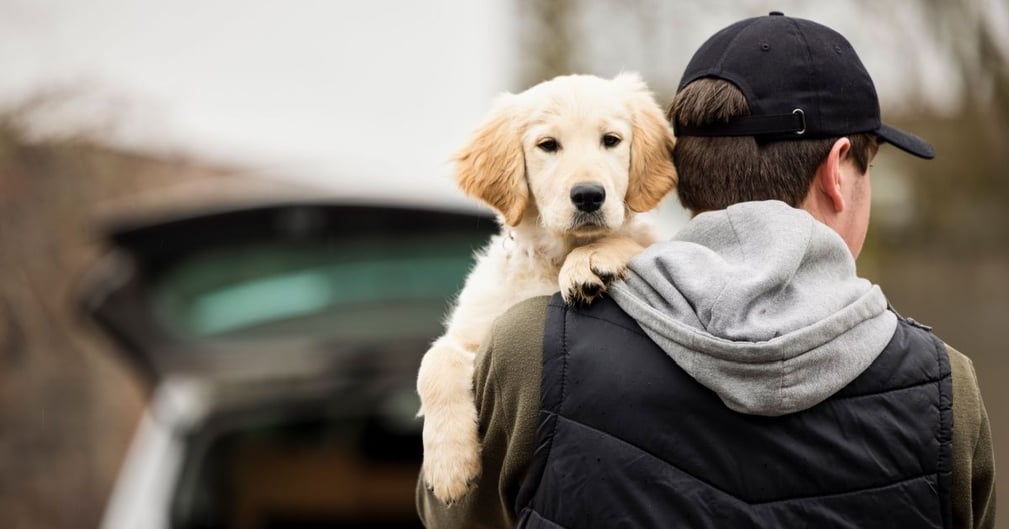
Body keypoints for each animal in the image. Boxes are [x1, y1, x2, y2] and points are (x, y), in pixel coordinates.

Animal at [417, 72, 678, 502]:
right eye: (548, 145)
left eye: (611, 140)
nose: (589, 195)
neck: (553, 257)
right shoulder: (474, 330)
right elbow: (433, 362)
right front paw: (449, 467)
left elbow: (634, 241)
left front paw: (590, 260)